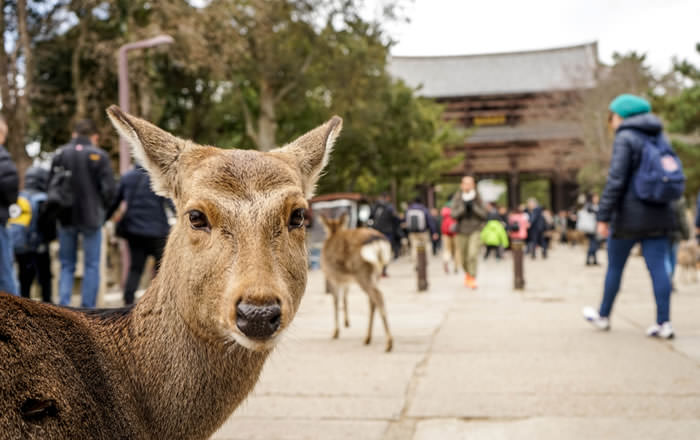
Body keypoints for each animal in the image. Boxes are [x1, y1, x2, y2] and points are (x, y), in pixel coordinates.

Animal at [318, 215, 392, 352]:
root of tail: (377, 242)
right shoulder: (346, 280)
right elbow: (345, 298)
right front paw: (346, 322)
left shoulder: (331, 276)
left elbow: (335, 301)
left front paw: (335, 332)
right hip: (375, 273)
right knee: (372, 301)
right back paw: (367, 338)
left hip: (362, 271)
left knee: (378, 297)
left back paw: (389, 343)